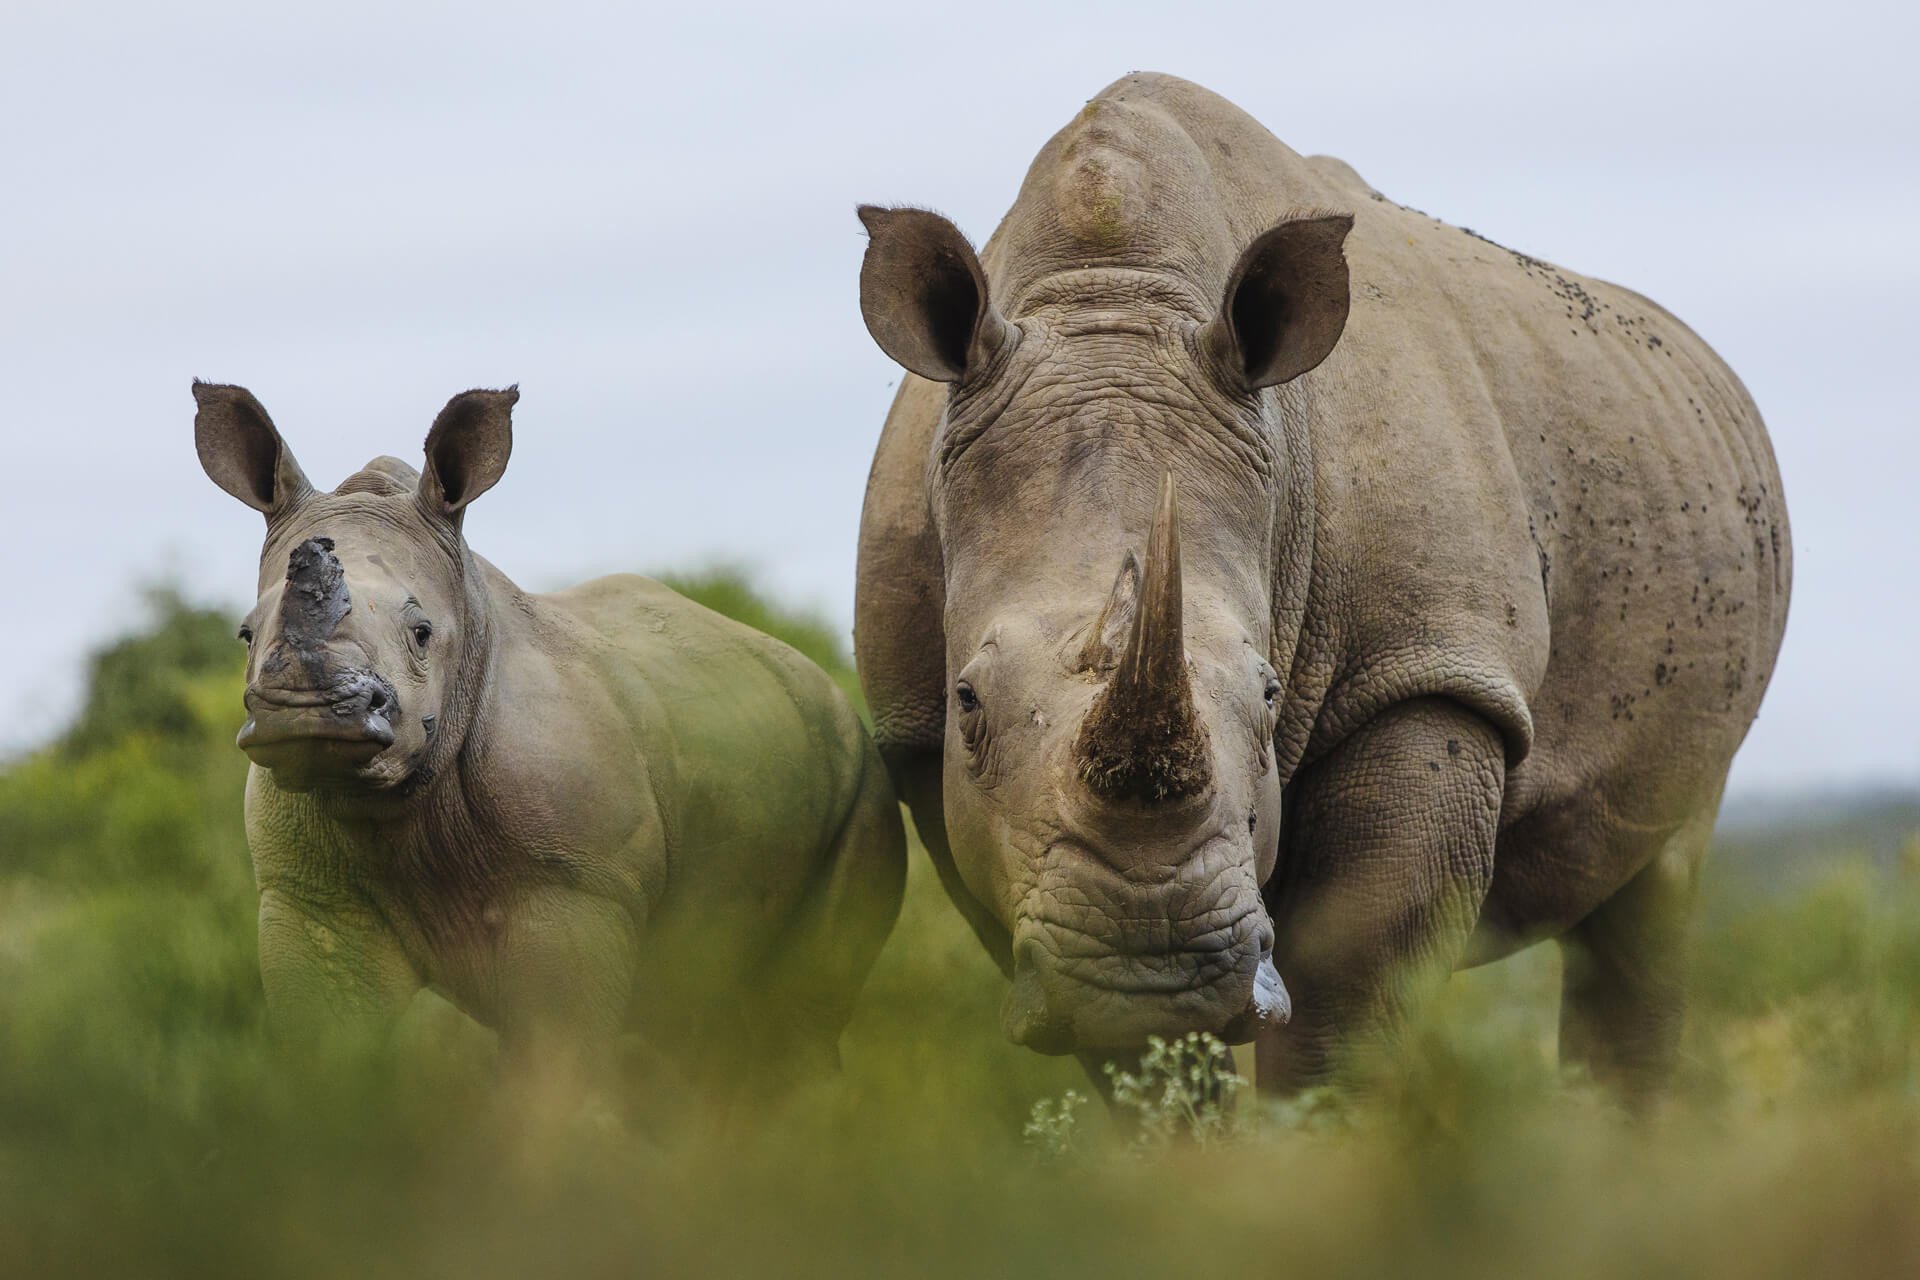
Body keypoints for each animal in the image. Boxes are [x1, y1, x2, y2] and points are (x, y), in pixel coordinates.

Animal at [194, 385, 906, 1097]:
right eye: (246, 634)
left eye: (422, 633)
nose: (306, 712)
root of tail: (825, 683)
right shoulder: (310, 899)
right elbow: (328, 1054)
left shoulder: (577, 886)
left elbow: (552, 1064)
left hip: (863, 780)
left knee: (798, 1012)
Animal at [856, 70, 1781, 1105]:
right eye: (968, 699)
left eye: (1268, 695)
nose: (1152, 965)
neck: (1112, 298)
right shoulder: (926, 747)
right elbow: (1138, 1061)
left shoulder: (1429, 669)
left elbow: (1346, 999)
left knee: (1658, 883)